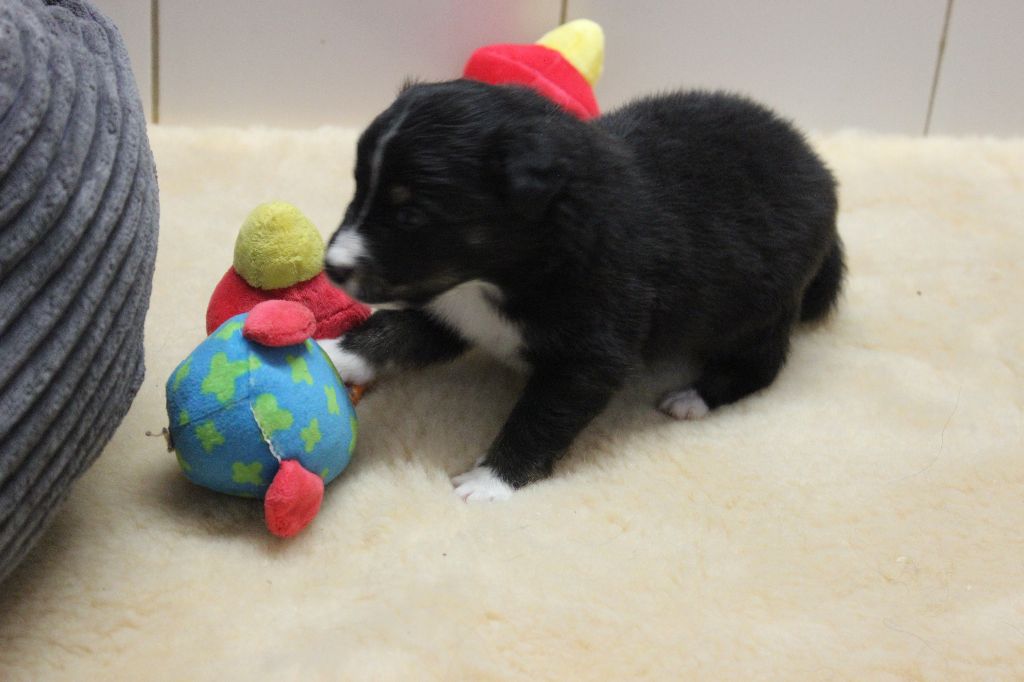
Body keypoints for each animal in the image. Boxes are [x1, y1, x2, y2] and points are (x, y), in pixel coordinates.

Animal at [321, 79, 844, 501]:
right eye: (357, 186)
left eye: (411, 213)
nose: (331, 268)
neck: (495, 276)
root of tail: (818, 168)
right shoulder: (450, 302)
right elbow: (396, 329)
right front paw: (334, 354)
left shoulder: (590, 353)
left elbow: (540, 418)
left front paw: (490, 481)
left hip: (759, 307)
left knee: (762, 363)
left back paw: (693, 397)